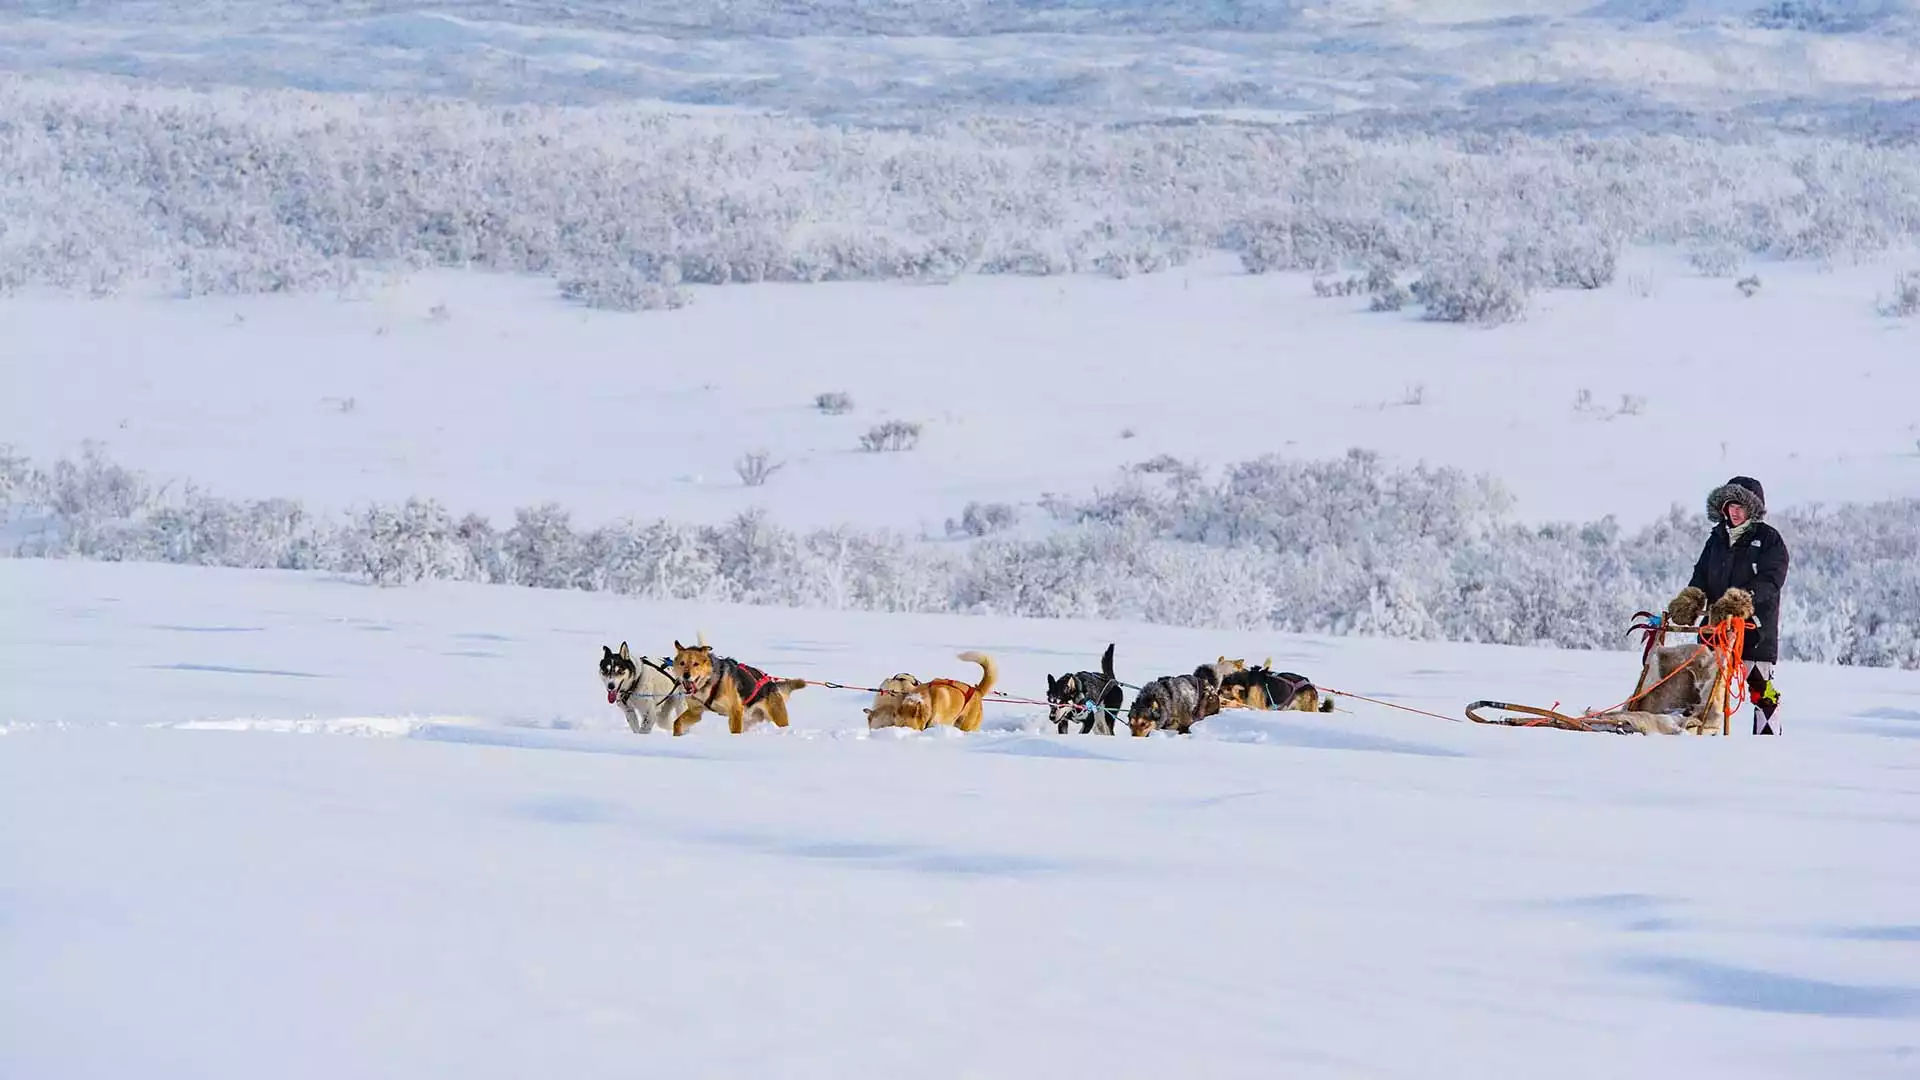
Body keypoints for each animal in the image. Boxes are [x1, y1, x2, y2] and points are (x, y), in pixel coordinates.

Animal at [672, 638, 806, 730]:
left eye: (696, 664)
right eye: (682, 663)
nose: (686, 675)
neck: (708, 683)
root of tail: (772, 684)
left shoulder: (735, 710)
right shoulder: (696, 712)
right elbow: (676, 723)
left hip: (777, 718)